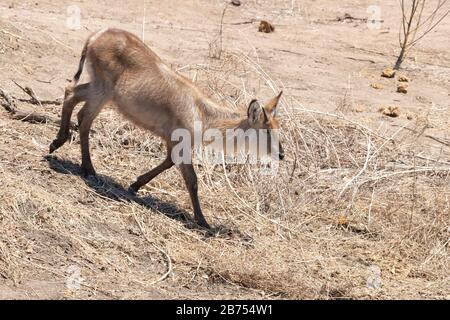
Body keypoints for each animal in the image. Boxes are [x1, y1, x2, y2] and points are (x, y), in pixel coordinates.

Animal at [48, 27, 282, 228]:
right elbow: (192, 180)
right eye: (266, 130)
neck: (202, 112)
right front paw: (202, 221)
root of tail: (96, 35)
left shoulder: (173, 142)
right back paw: (87, 168)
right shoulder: (182, 143)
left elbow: (168, 162)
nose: (281, 154)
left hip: (100, 90)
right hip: (103, 90)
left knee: (70, 93)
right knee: (83, 116)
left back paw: (58, 144)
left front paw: (135, 185)